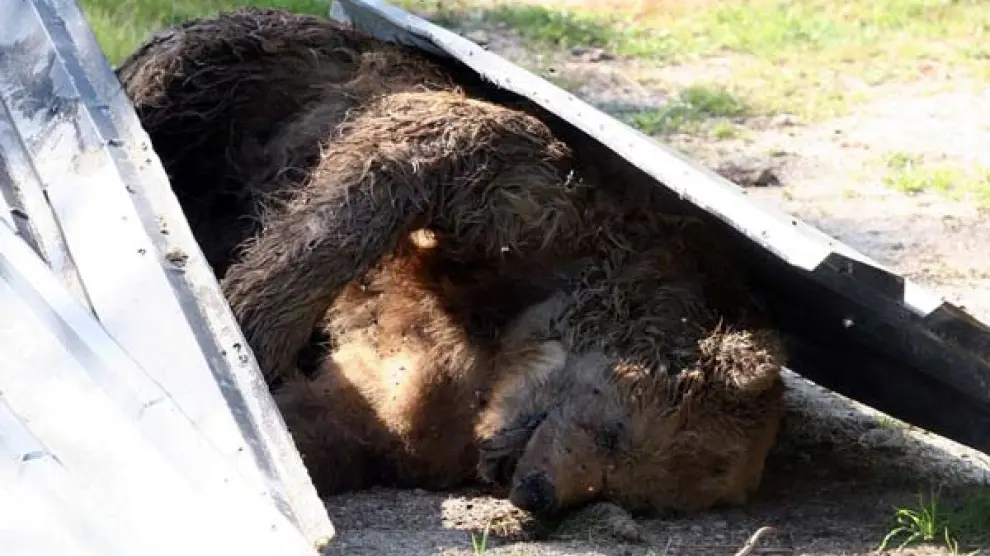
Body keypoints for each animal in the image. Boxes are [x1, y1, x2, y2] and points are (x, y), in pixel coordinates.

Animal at [117, 8, 787, 519]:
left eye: (626, 493)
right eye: (615, 434)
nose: (538, 493)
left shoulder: (421, 388)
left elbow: (347, 422)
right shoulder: (539, 204)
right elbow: (410, 153)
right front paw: (244, 335)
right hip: (229, 68)